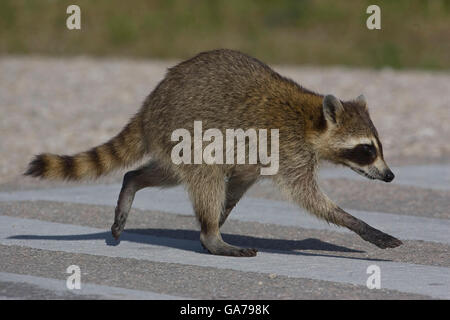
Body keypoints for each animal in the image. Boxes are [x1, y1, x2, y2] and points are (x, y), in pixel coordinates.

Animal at [26, 48, 402, 256]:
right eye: (366, 150)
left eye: (379, 147)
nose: (389, 176)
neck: (311, 121)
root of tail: (150, 104)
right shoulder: (288, 149)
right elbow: (308, 197)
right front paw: (356, 222)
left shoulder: (261, 157)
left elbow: (241, 182)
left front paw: (222, 214)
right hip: (185, 131)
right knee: (204, 174)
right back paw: (212, 235)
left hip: (173, 142)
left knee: (162, 172)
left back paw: (134, 183)